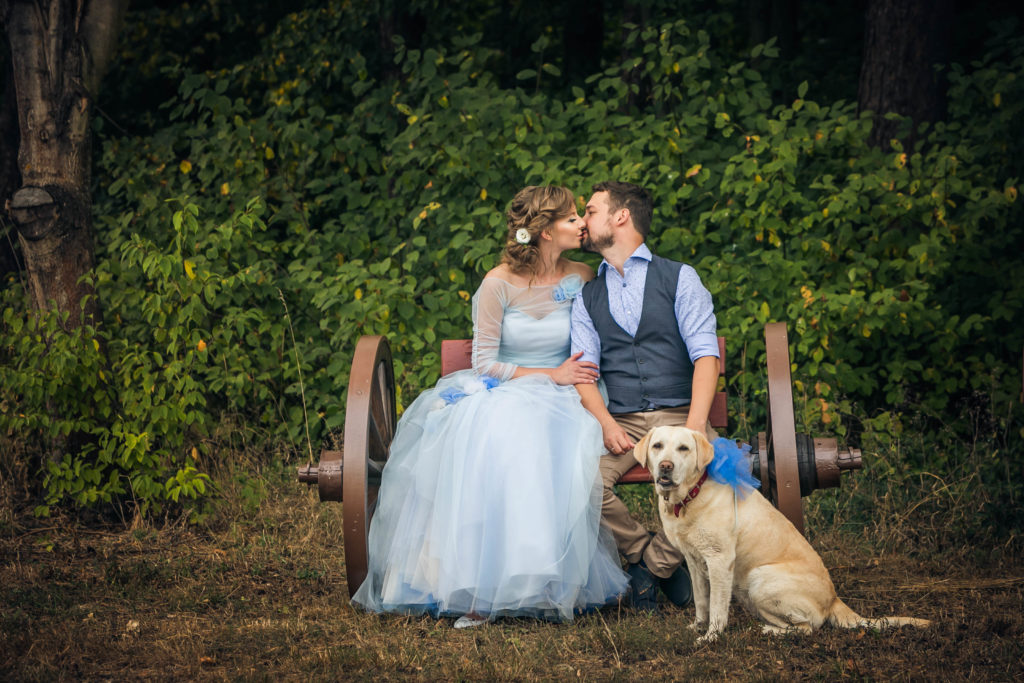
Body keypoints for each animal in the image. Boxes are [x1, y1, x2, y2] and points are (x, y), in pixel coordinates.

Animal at [634, 428, 933, 643]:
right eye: (657, 446)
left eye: (683, 449)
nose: (666, 466)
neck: (689, 497)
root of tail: (834, 599)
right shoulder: (695, 562)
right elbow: (701, 601)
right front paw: (697, 627)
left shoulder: (719, 561)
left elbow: (717, 608)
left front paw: (711, 637)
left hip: (759, 580)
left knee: (808, 627)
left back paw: (766, 631)